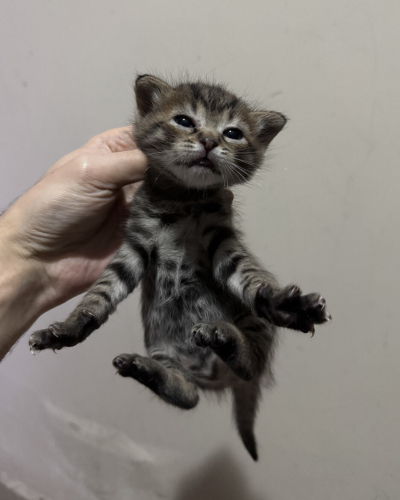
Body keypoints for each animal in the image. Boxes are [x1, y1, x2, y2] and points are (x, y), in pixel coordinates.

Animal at [29, 75, 331, 460]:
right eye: (185, 121)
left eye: (232, 133)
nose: (209, 141)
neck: (183, 200)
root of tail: (213, 372)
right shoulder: (134, 247)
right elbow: (98, 296)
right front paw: (68, 328)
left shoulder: (221, 243)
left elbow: (252, 280)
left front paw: (285, 302)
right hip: (160, 345)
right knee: (189, 396)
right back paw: (145, 369)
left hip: (254, 325)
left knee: (248, 368)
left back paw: (224, 336)